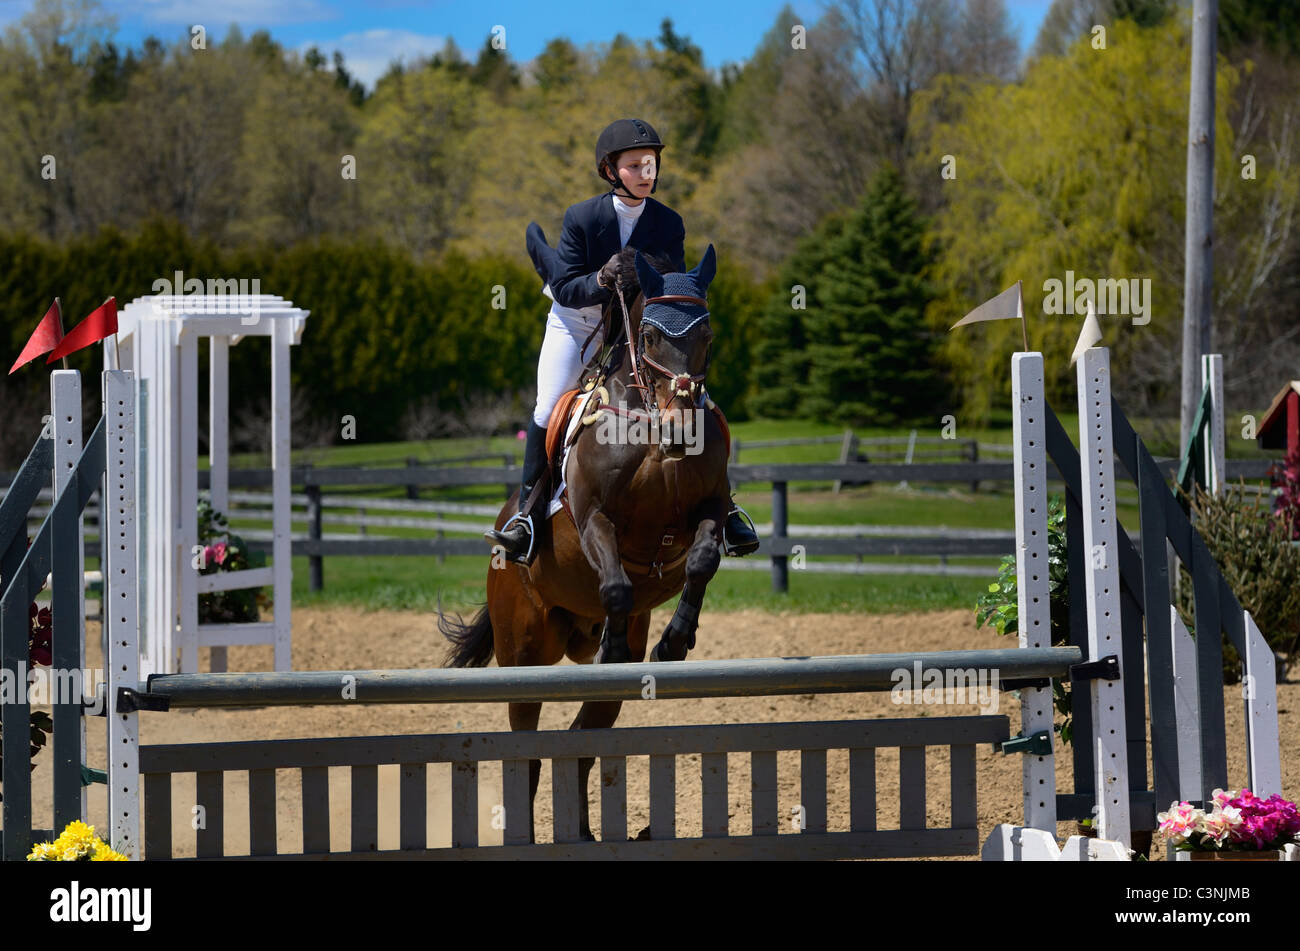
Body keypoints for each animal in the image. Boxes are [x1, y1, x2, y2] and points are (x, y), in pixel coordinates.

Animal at [441, 241, 733, 841]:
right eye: (649, 336)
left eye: (708, 336)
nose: (681, 433)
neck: (650, 421)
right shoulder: (595, 517)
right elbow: (617, 584)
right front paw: (616, 648)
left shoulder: (712, 507)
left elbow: (701, 560)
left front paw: (676, 641)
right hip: (525, 650)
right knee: (526, 744)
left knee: (582, 737)